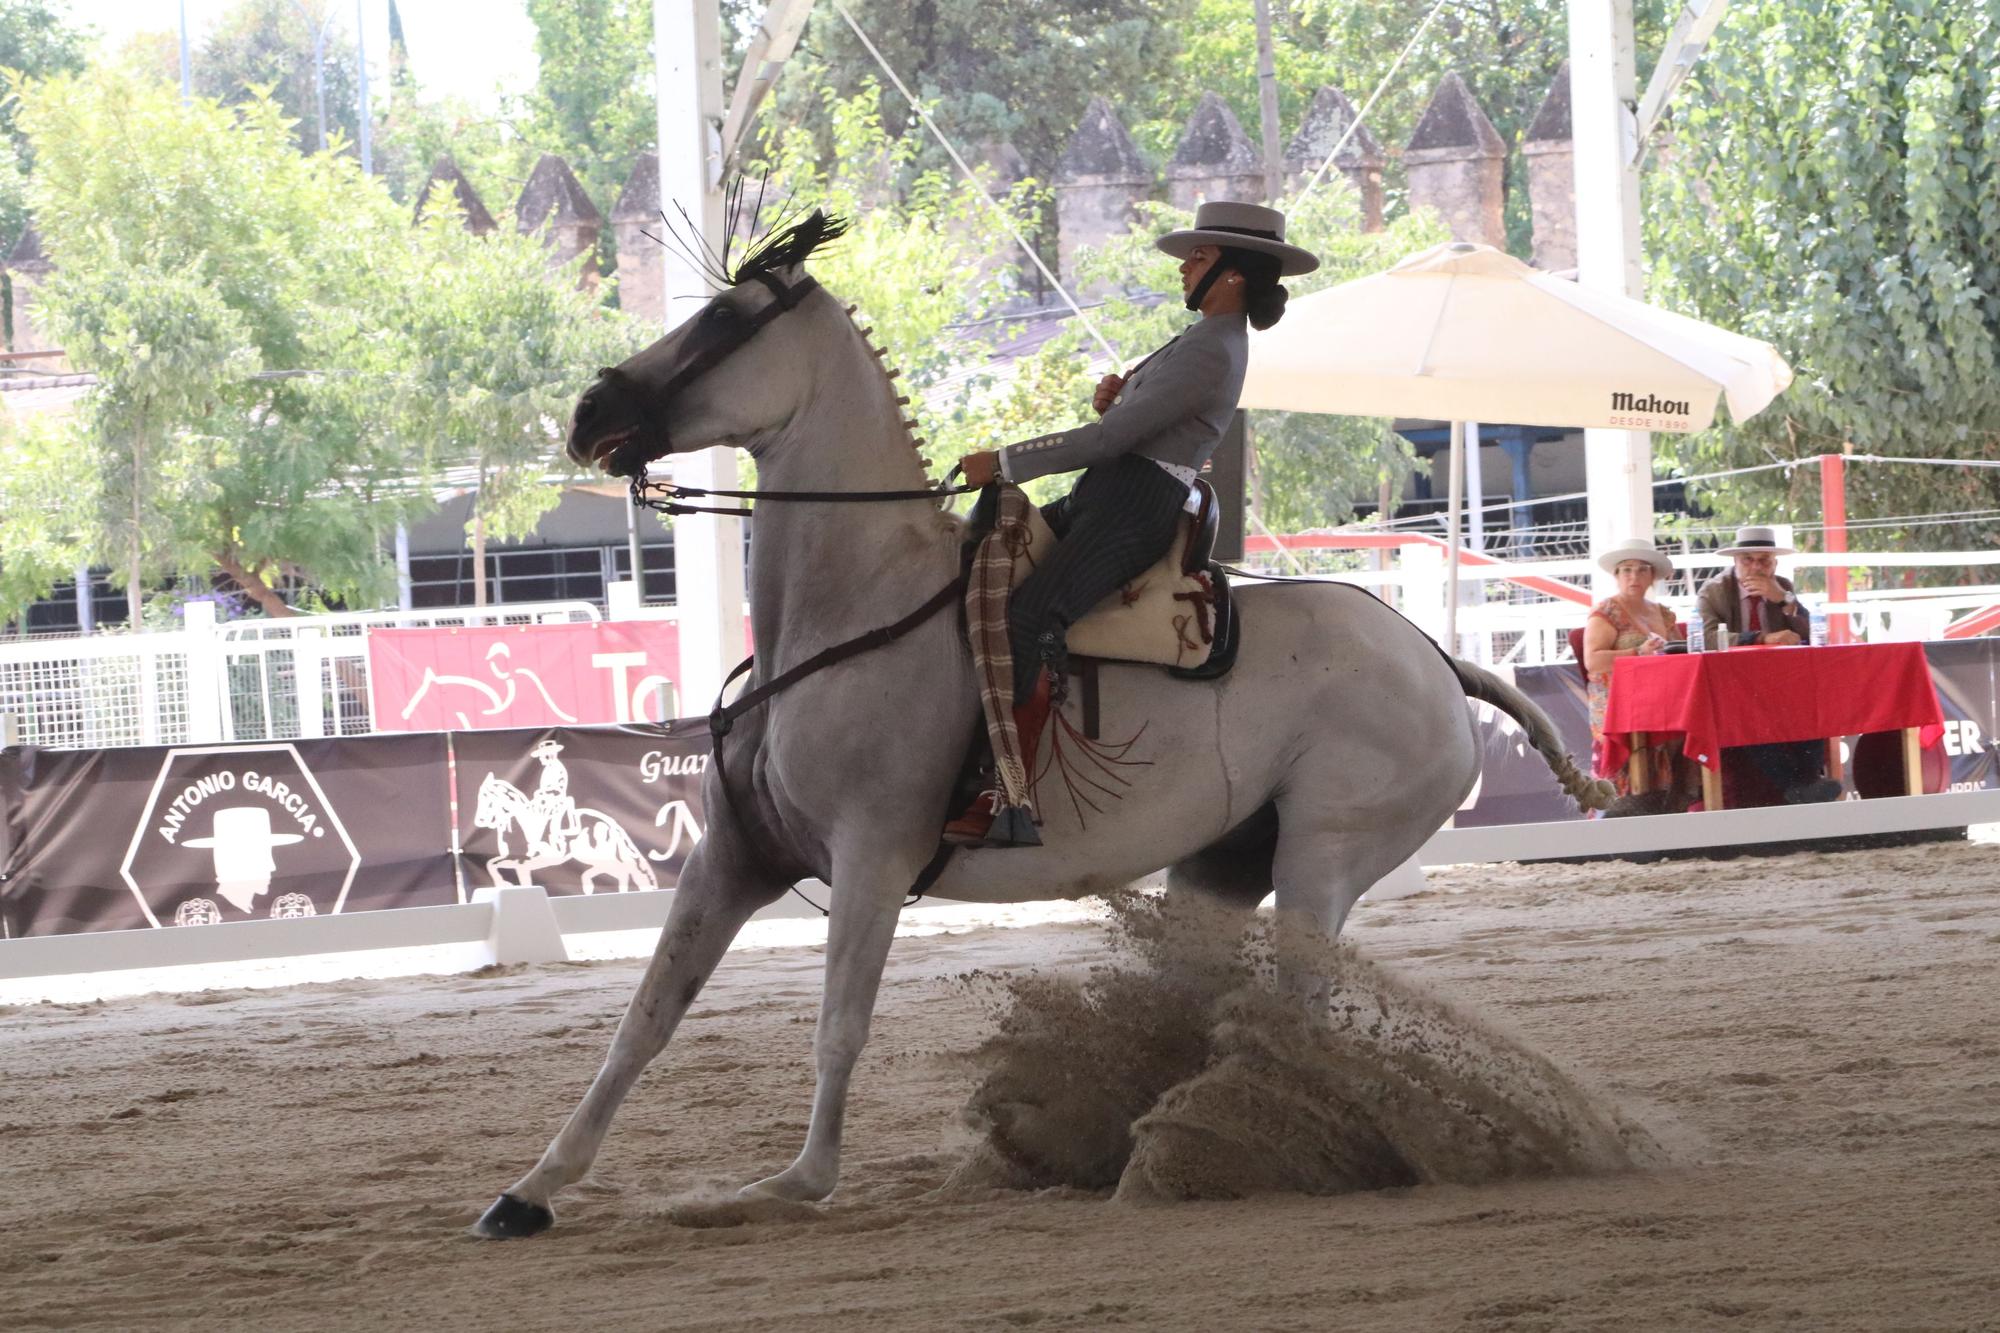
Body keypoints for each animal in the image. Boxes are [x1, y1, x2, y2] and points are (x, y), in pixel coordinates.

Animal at [472, 213, 1608, 1232]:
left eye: (723, 316)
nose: (591, 408)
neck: (851, 607)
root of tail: (1436, 658)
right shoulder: (734, 856)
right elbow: (643, 1021)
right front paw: (530, 1190)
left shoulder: (871, 858)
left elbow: (839, 1026)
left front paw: (788, 1186)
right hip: (1224, 866)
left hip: (1323, 858)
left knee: (1294, 1017)